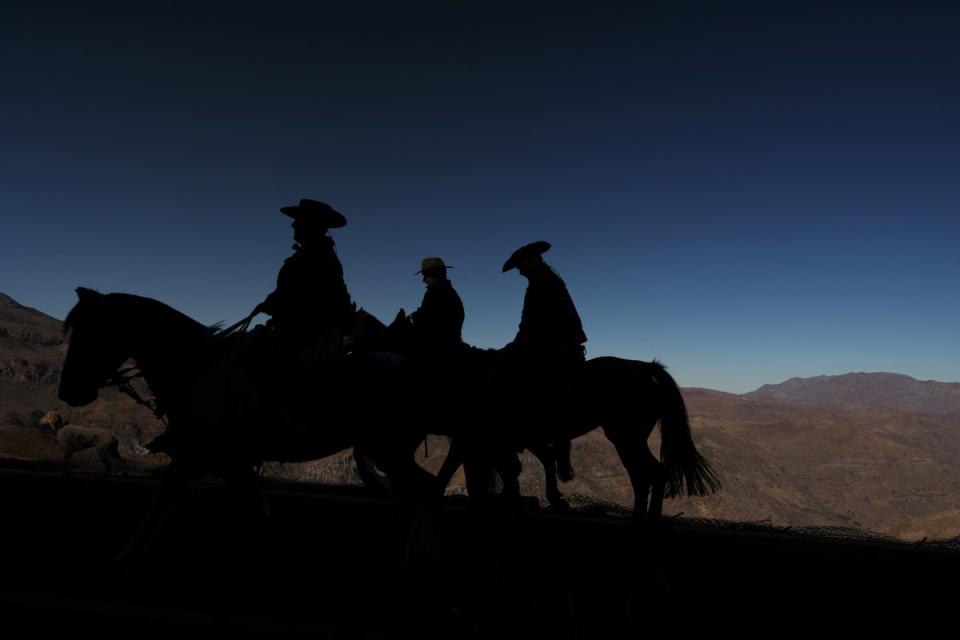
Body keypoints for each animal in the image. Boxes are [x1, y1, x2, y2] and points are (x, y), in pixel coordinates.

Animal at [62, 288, 444, 568]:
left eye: (89, 334)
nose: (67, 391)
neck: (196, 370)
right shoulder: (226, 460)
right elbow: (252, 504)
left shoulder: (194, 453)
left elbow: (161, 502)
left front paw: (123, 557)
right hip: (390, 452)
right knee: (414, 494)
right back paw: (401, 552)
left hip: (389, 450)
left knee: (424, 489)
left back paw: (418, 554)